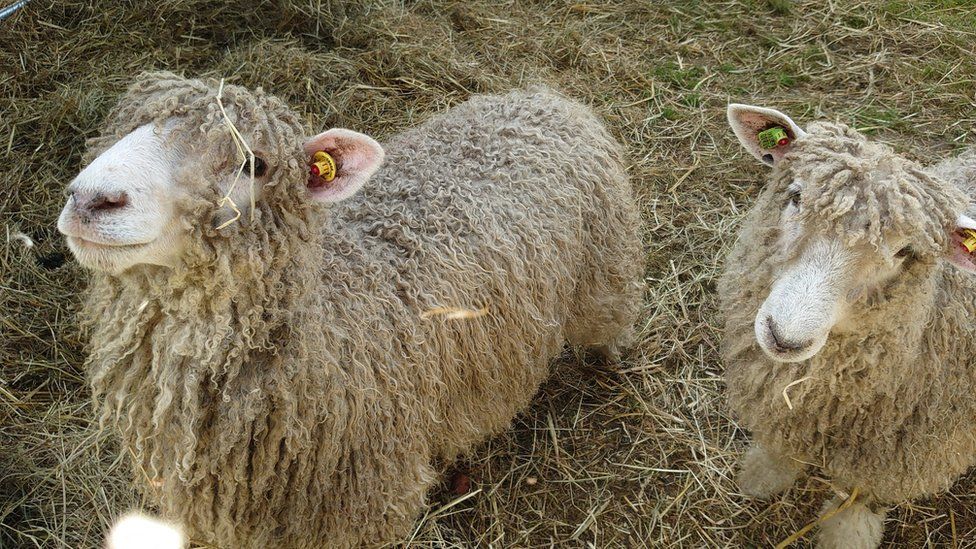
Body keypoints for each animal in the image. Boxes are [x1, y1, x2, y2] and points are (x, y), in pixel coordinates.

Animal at [57, 74, 644, 548]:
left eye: (254, 164)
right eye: (125, 127)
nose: (91, 198)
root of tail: (543, 99)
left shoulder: (368, 506)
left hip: (605, 275)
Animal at [720, 100, 976, 544]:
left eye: (904, 251)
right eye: (795, 196)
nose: (785, 337)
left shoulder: (893, 459)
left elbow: (860, 502)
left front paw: (847, 536)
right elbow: (779, 444)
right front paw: (762, 476)